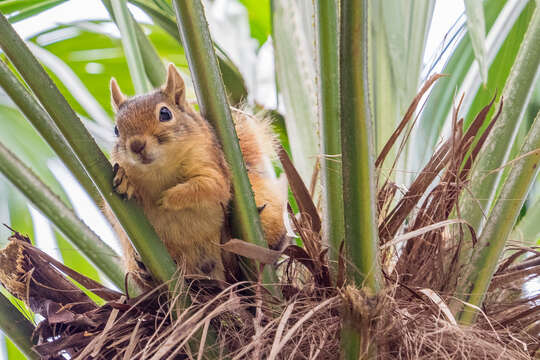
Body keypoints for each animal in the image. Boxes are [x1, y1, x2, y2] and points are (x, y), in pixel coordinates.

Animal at [104, 63, 286, 286]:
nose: (137, 145)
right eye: (116, 130)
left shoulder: (212, 167)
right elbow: (114, 207)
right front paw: (125, 180)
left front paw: (169, 198)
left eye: (165, 113)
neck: (159, 171)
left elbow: (208, 187)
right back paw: (145, 271)